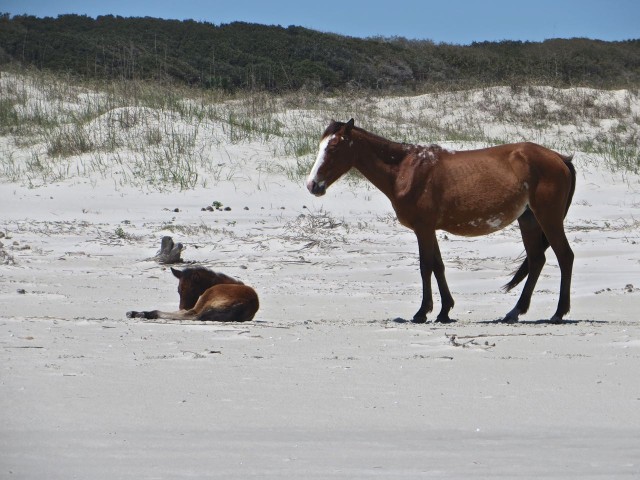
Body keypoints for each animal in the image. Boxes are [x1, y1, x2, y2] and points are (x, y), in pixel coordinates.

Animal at [127, 266, 260, 322]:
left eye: (192, 289)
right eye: (178, 290)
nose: (183, 306)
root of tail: (244, 303)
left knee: (188, 315)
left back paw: (142, 314)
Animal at [304, 118, 576, 324]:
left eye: (334, 147)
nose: (312, 185)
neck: (406, 170)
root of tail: (559, 158)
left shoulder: (423, 229)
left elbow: (425, 266)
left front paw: (422, 313)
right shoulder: (428, 229)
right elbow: (438, 266)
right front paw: (444, 311)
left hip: (548, 218)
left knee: (565, 256)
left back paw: (558, 313)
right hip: (528, 220)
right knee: (537, 260)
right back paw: (514, 312)